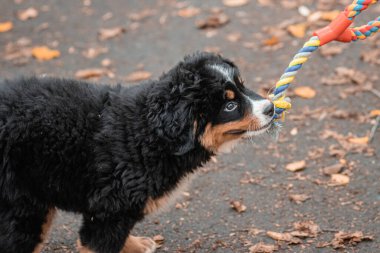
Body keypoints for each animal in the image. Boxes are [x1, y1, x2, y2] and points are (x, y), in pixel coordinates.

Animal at [0, 52, 274, 252]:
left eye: (242, 86)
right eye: (230, 106)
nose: (271, 108)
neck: (146, 134)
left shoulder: (111, 213)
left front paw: (136, 245)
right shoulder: (110, 209)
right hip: (25, 206)